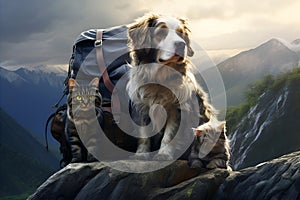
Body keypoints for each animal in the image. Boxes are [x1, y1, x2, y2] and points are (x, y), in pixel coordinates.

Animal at [126, 12, 213, 160]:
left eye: (181, 33)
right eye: (161, 32)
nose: (181, 45)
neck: (160, 78)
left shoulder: (176, 108)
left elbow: (170, 133)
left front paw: (164, 153)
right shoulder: (142, 107)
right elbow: (144, 134)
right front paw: (142, 153)